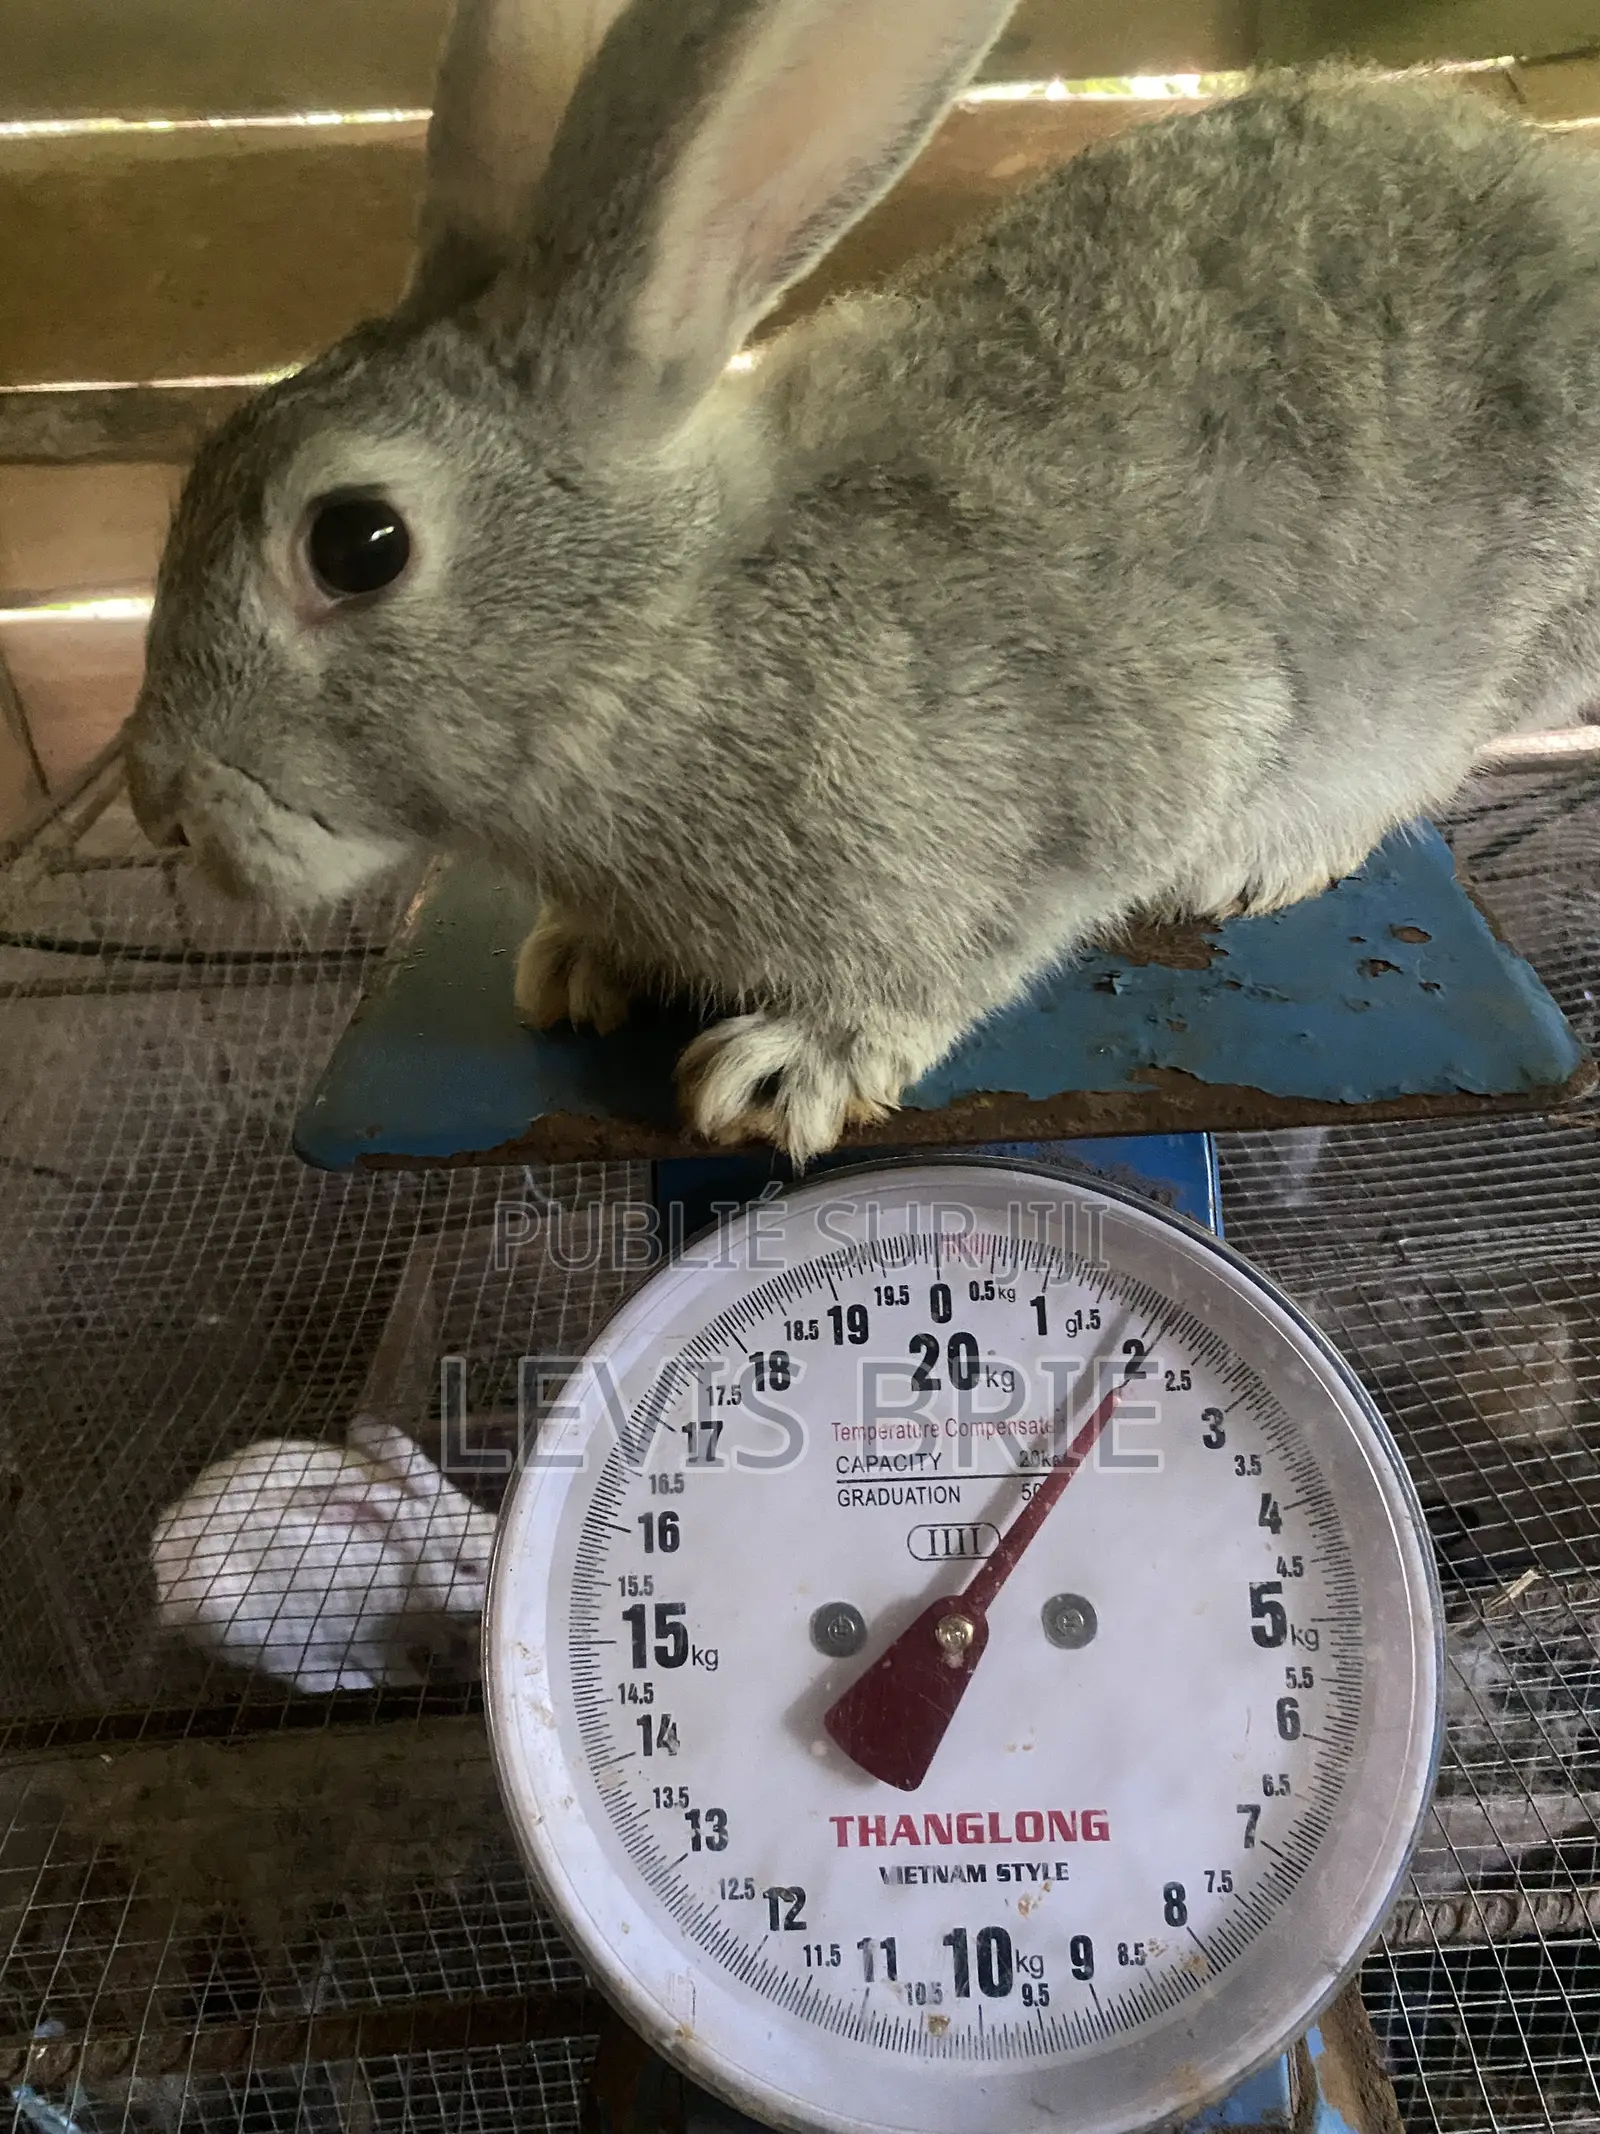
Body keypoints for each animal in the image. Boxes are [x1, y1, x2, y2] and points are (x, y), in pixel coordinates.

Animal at [124, 0, 1600, 1163]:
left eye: (356, 543)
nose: (159, 810)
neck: (675, 632)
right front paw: (580, 963)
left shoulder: (1131, 751)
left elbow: (981, 941)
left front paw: (786, 1070)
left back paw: (1263, 857)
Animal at [149, 1418, 498, 1692]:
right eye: (466, 1568)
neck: (406, 1562)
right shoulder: (368, 1639)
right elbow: (394, 1670)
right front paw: (416, 1681)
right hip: (261, 1637)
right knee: (303, 1673)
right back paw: (348, 1683)